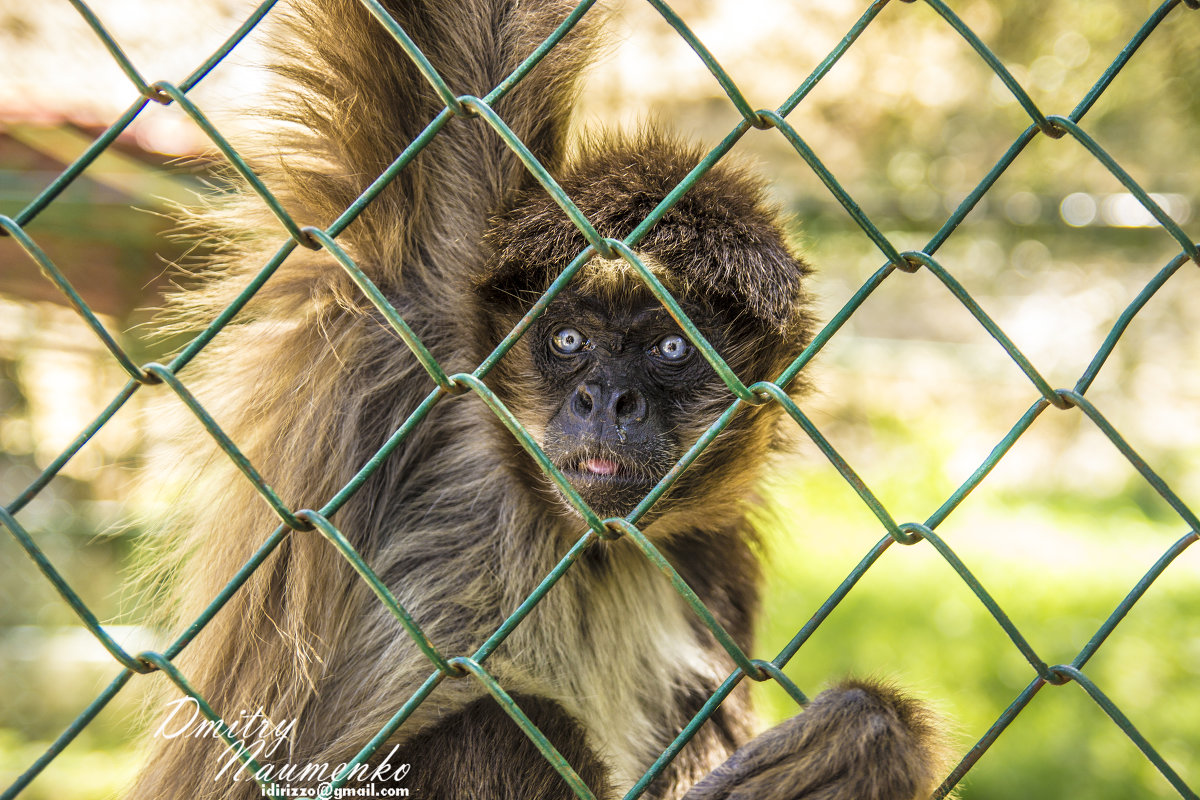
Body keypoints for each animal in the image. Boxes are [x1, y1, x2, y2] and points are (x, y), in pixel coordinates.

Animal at [129, 1, 945, 800]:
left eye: (671, 348)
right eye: (568, 340)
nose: (607, 400)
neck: (588, 545)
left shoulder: (710, 551)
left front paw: (869, 747)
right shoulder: (440, 325)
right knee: (500, 727)